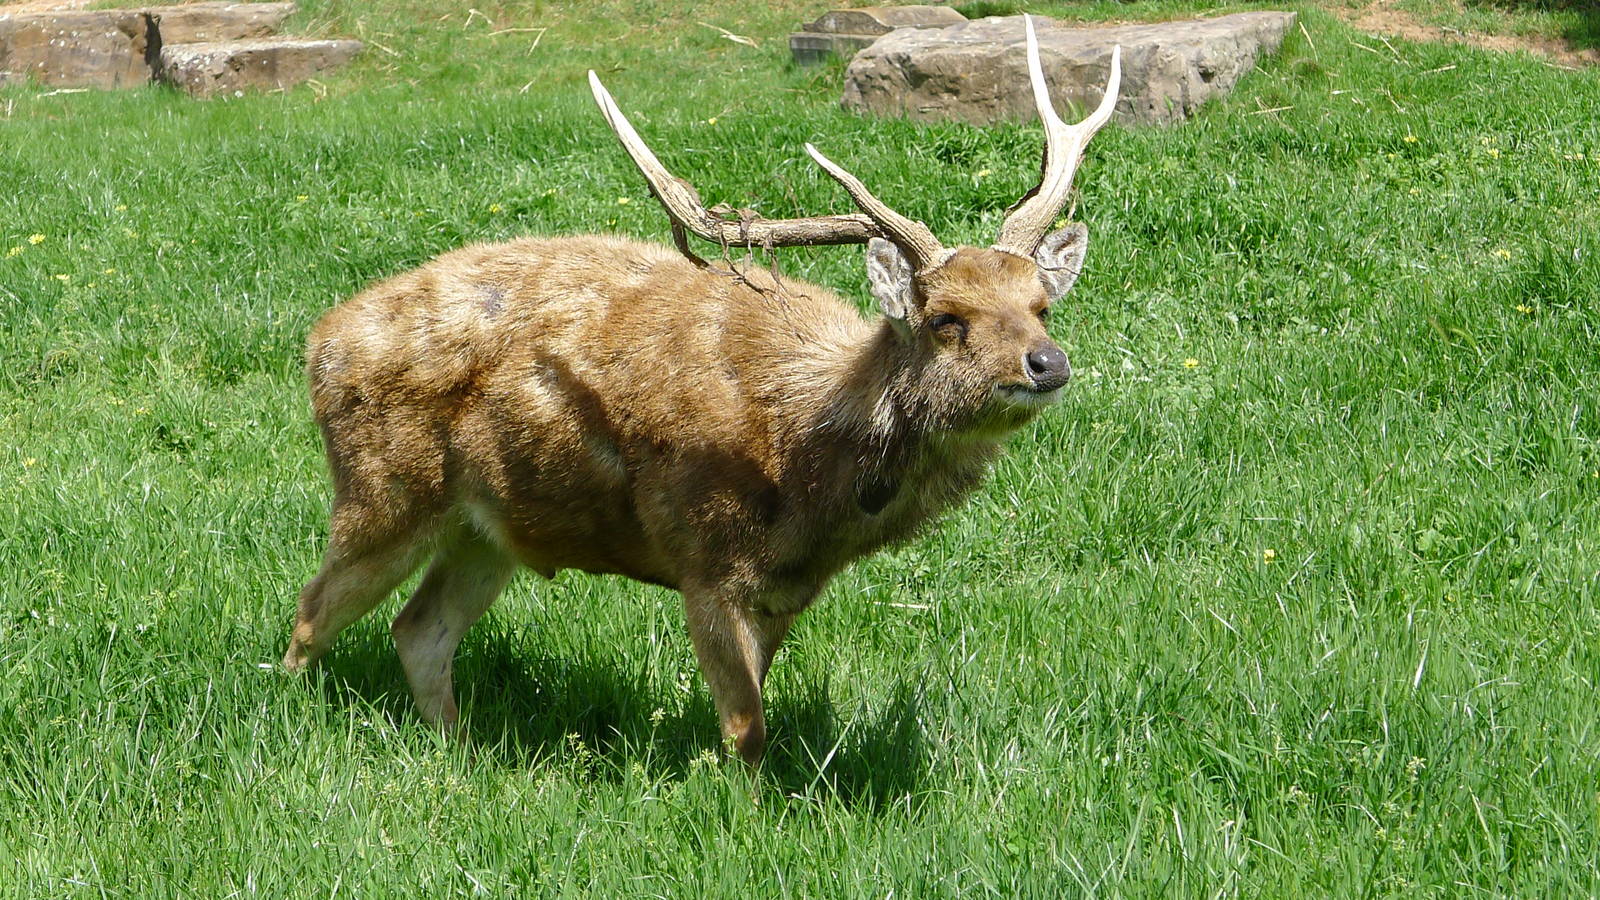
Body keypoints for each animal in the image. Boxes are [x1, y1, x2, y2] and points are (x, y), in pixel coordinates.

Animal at [282, 17, 1122, 767]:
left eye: (1041, 305)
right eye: (946, 318)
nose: (1047, 363)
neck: (805, 462)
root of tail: (320, 340)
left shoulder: (786, 590)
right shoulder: (704, 558)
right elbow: (746, 732)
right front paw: (748, 814)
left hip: (488, 530)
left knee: (417, 630)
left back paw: (459, 755)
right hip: (382, 489)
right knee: (310, 615)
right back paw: (298, 721)